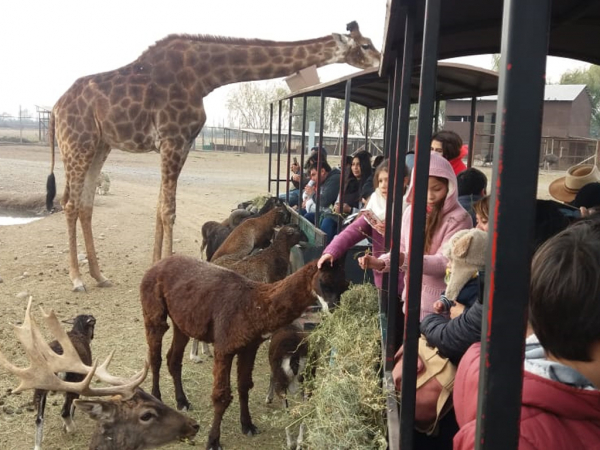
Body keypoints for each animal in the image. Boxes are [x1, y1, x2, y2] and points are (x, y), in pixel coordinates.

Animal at [0, 298, 202, 448]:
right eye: (146, 415)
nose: (194, 425)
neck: (78, 333)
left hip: (41, 389)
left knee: (39, 420)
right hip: (72, 382)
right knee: (64, 411)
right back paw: (71, 427)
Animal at [49, 21, 382, 292]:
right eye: (366, 44)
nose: (379, 63)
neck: (204, 75)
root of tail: (55, 108)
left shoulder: (180, 143)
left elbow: (159, 208)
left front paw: (154, 265)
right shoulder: (173, 139)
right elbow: (168, 210)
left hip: (100, 146)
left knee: (85, 205)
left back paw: (99, 276)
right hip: (78, 143)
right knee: (70, 203)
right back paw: (77, 279)